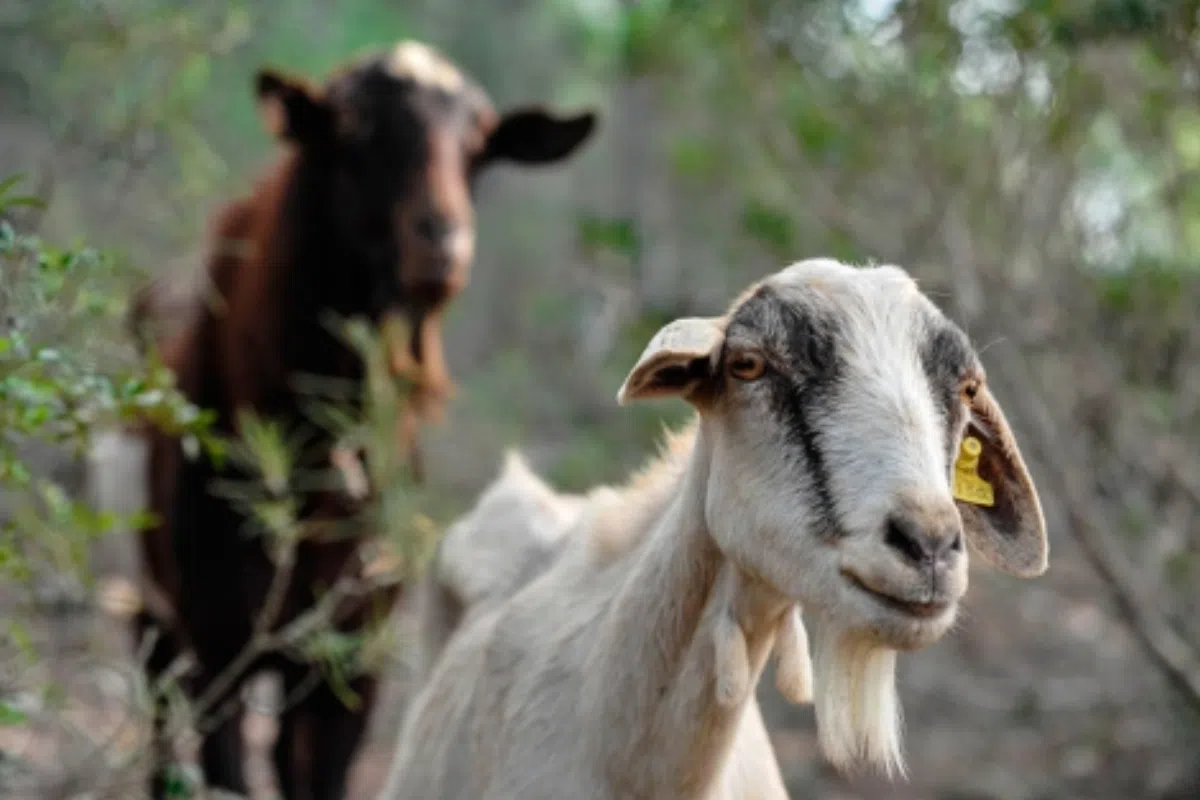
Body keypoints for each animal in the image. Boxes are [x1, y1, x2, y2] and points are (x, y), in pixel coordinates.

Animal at [88, 40, 598, 800]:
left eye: (479, 147)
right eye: (354, 132)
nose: (442, 243)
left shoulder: (356, 653)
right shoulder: (218, 642)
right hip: (154, 609)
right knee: (157, 722)